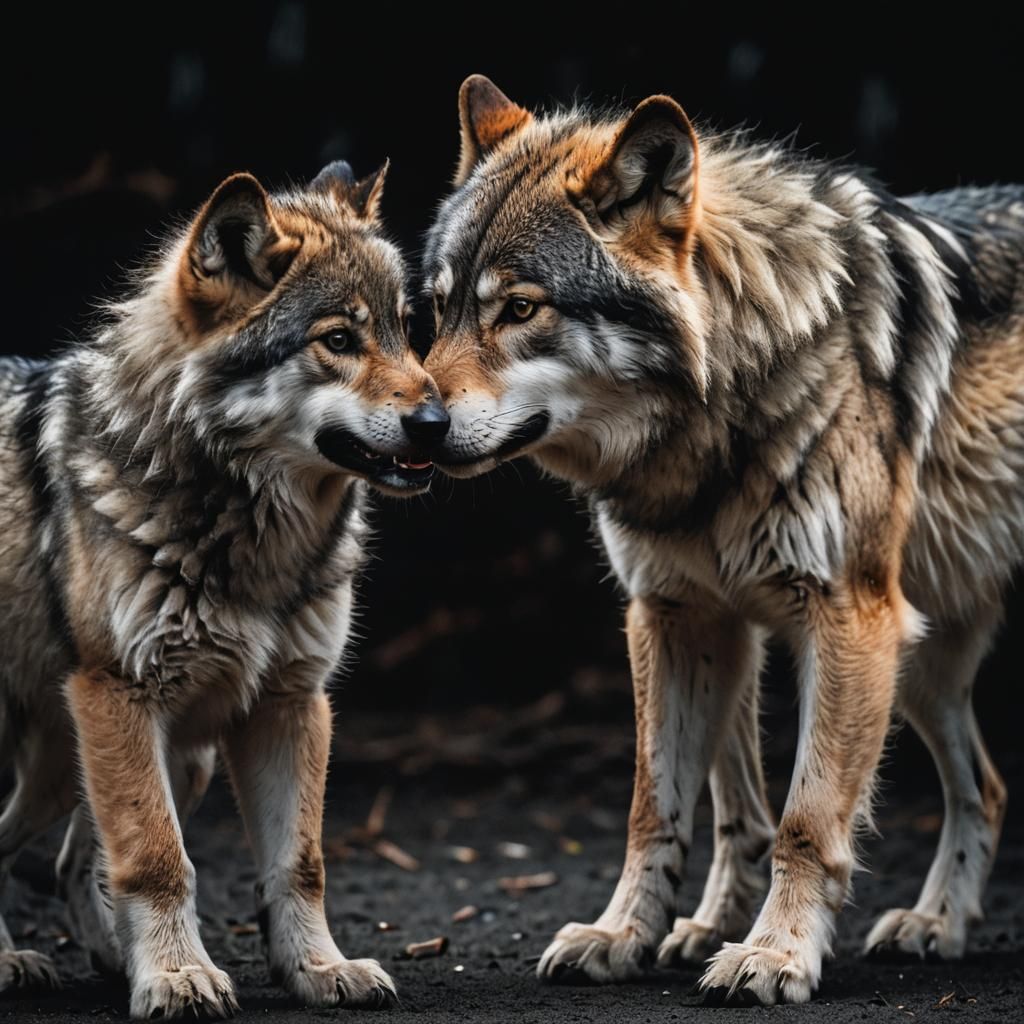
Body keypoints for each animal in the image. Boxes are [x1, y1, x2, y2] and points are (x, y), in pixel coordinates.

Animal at [0, 160, 449, 1017]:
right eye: (338, 341)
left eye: (409, 333)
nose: (440, 424)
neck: (253, 541)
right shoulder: (118, 694)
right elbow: (156, 857)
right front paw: (177, 977)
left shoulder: (292, 701)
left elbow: (298, 864)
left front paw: (318, 969)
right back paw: (17, 958)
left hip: (150, 761)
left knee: (70, 856)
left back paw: (109, 957)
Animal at [422, 75, 1022, 1004]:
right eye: (437, 308)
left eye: (520, 309)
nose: (416, 425)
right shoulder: (675, 615)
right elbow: (655, 810)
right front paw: (622, 937)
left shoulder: (847, 620)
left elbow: (806, 820)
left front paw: (775, 955)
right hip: (917, 664)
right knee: (985, 789)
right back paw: (936, 924)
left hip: (899, 652)